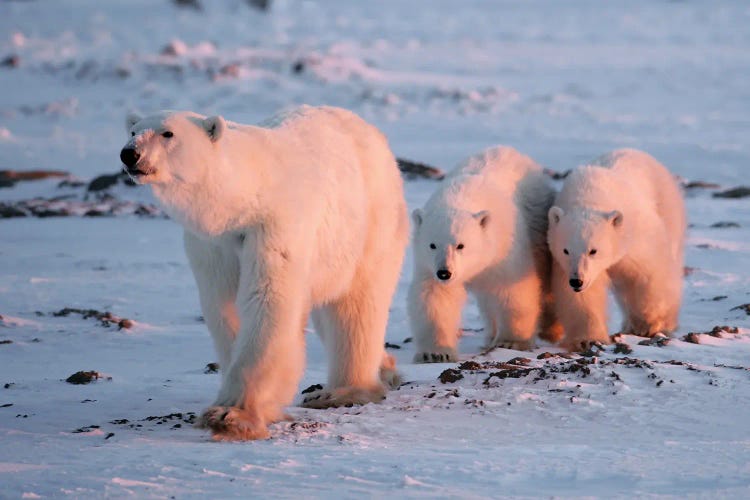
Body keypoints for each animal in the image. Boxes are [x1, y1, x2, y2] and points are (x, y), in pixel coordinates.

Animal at [121, 104, 412, 438]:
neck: (245, 196)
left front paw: (231, 414)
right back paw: (385, 368)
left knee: (356, 306)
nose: (129, 154)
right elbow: (224, 306)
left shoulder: (273, 227)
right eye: (133, 131)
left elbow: (268, 302)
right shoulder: (213, 244)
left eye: (168, 133)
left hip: (367, 226)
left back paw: (341, 391)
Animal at [408, 146, 560, 362]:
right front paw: (436, 353)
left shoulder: (504, 247)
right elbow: (435, 296)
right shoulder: (427, 265)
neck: (461, 195)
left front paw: (511, 342)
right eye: (432, 245)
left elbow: (512, 288)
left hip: (538, 223)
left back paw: (551, 329)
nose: (444, 272)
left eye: (460, 245)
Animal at [548, 148, 688, 352]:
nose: (576, 281)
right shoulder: (563, 265)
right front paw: (586, 340)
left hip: (669, 210)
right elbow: (583, 298)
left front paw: (650, 324)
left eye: (593, 250)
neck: (589, 197)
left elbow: (650, 273)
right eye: (566, 250)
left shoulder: (636, 236)